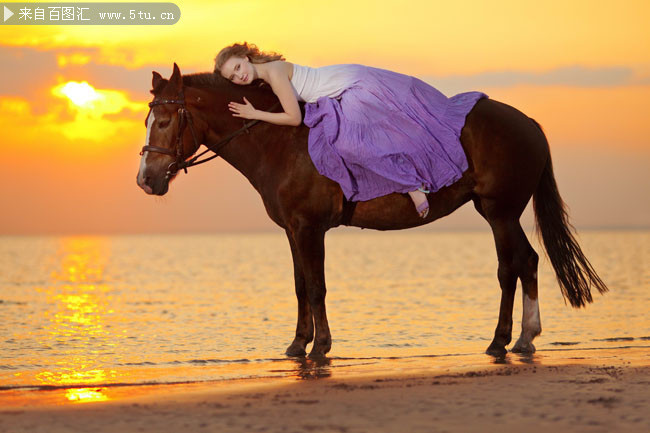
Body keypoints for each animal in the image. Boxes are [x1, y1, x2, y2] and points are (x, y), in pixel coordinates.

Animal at [134, 62, 604, 356]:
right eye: (147, 120)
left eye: (165, 121)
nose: (145, 180)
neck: (280, 140)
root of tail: (529, 124)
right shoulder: (292, 230)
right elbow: (300, 286)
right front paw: (297, 345)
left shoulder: (309, 228)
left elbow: (317, 287)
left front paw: (320, 347)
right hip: (499, 213)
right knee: (525, 262)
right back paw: (520, 338)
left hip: (499, 212)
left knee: (512, 267)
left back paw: (506, 340)